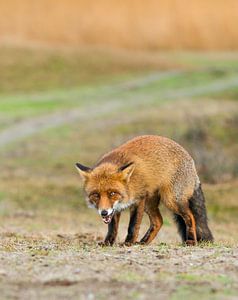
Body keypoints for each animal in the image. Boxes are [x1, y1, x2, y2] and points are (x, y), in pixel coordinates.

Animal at [75, 135, 213, 245]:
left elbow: (133, 225)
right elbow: (112, 228)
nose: (103, 213)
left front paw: (128, 243)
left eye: (112, 193)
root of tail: (191, 160)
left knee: (190, 216)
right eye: (96, 195)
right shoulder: (115, 208)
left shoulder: (138, 200)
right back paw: (143, 242)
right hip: (149, 204)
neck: (130, 185)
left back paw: (191, 241)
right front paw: (108, 243)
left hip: (171, 200)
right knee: (159, 221)